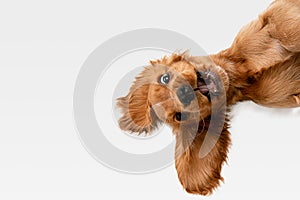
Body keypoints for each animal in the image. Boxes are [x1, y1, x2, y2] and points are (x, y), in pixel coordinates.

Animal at [116, 0, 300, 195]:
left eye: (164, 78)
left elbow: (284, 29)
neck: (241, 74)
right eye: (179, 116)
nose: (184, 93)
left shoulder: (273, 18)